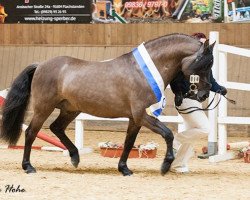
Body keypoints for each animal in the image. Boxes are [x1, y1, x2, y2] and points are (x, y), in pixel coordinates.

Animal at [0, 33, 215, 176]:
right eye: (204, 64)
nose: (204, 94)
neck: (142, 71)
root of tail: (41, 65)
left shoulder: (135, 119)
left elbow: (129, 143)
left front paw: (124, 168)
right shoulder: (142, 115)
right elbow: (168, 134)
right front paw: (165, 165)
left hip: (70, 109)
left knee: (56, 128)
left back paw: (75, 157)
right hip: (44, 108)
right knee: (31, 133)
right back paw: (28, 167)